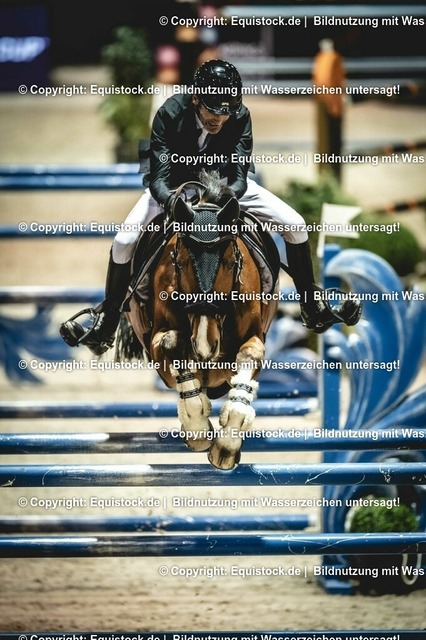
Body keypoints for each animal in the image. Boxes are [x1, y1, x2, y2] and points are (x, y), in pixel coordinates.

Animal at [117, 170, 280, 470]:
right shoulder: (160, 349)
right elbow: (173, 344)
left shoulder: (254, 337)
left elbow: (250, 357)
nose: (205, 345)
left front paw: (226, 446)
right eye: (179, 263)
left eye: (230, 261)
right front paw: (198, 429)